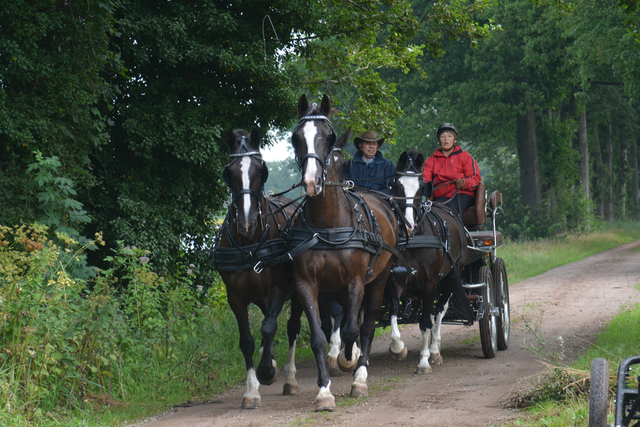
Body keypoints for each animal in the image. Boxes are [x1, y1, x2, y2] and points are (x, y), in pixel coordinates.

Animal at [210, 127, 302, 408]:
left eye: (262, 170)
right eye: (228, 173)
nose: (247, 222)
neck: (249, 244)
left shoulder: (278, 290)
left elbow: (270, 327)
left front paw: (267, 372)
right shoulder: (235, 297)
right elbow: (248, 340)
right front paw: (251, 390)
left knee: (292, 327)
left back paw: (290, 379)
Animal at [288, 94, 398, 412]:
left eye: (329, 136)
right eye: (296, 137)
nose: (312, 182)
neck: (329, 226)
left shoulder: (355, 282)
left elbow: (353, 329)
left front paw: (351, 363)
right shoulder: (307, 284)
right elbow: (318, 336)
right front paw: (324, 392)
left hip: (379, 279)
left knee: (368, 323)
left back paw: (359, 374)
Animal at [382, 150, 472, 374]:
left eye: (421, 187)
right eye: (396, 185)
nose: (409, 224)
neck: (414, 239)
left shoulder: (430, 283)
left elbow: (425, 323)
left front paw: (423, 361)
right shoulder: (394, 281)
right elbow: (394, 313)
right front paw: (398, 348)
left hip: (450, 278)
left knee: (439, 312)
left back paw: (435, 350)